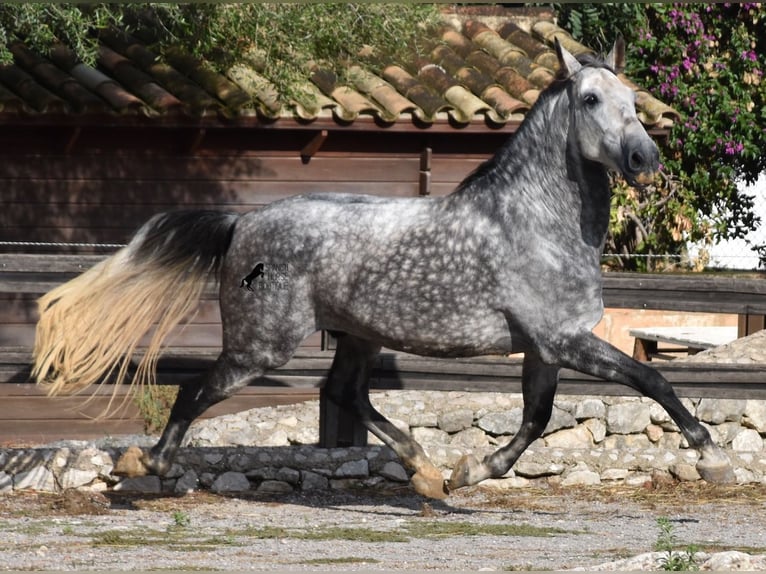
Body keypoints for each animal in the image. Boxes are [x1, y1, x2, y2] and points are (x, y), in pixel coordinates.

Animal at [34, 40, 736, 500]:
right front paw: (711, 456)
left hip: (357, 335)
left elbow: (536, 420)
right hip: (264, 345)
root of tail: (241, 225)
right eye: (590, 99)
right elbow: (651, 378)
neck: (535, 220)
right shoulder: (563, 339)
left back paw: (424, 468)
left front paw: (469, 473)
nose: (645, 159)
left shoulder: (544, 347)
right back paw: (144, 466)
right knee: (195, 392)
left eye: (633, 99)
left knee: (345, 393)